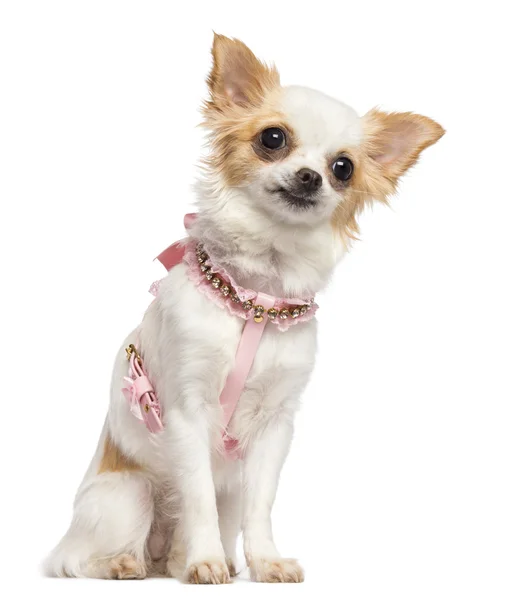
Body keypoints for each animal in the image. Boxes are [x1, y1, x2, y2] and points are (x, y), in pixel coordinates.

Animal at [45, 32, 444, 580]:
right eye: (272, 139)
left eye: (343, 168)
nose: (311, 177)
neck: (254, 299)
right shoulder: (187, 411)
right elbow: (197, 499)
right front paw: (206, 561)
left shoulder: (275, 425)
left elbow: (261, 504)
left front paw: (265, 562)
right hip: (128, 495)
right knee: (79, 558)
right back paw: (126, 563)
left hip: (222, 488)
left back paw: (192, 561)